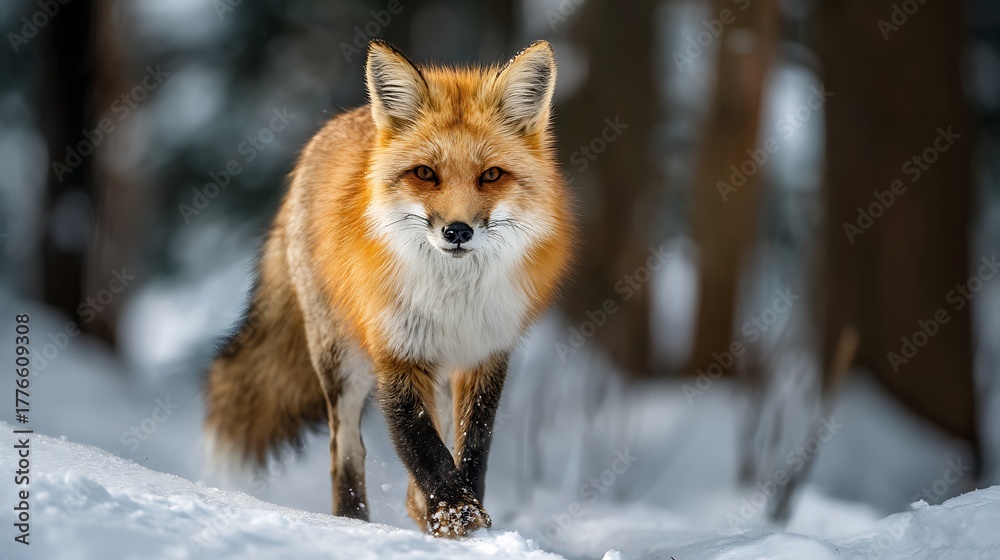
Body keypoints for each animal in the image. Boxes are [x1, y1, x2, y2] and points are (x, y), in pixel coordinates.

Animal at [204, 39, 576, 537]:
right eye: (425, 173)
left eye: (492, 175)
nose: (457, 231)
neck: (454, 299)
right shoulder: (396, 352)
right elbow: (423, 445)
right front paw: (456, 513)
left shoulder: (484, 355)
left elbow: (471, 447)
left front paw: (462, 516)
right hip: (341, 362)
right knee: (345, 448)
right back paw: (354, 522)